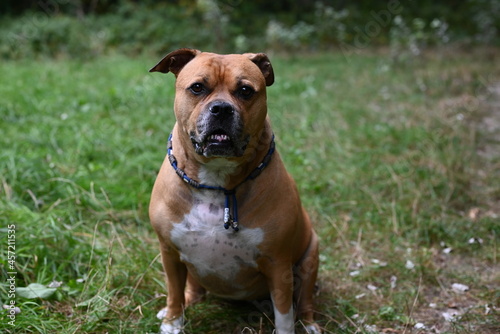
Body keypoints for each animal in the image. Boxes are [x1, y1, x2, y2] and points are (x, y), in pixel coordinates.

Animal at [148, 48, 320, 332]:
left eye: (246, 91)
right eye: (197, 87)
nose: (221, 108)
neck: (217, 184)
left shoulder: (279, 265)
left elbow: (284, 312)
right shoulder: (169, 253)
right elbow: (173, 291)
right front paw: (172, 322)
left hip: (310, 256)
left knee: (304, 299)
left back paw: (310, 323)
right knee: (190, 289)